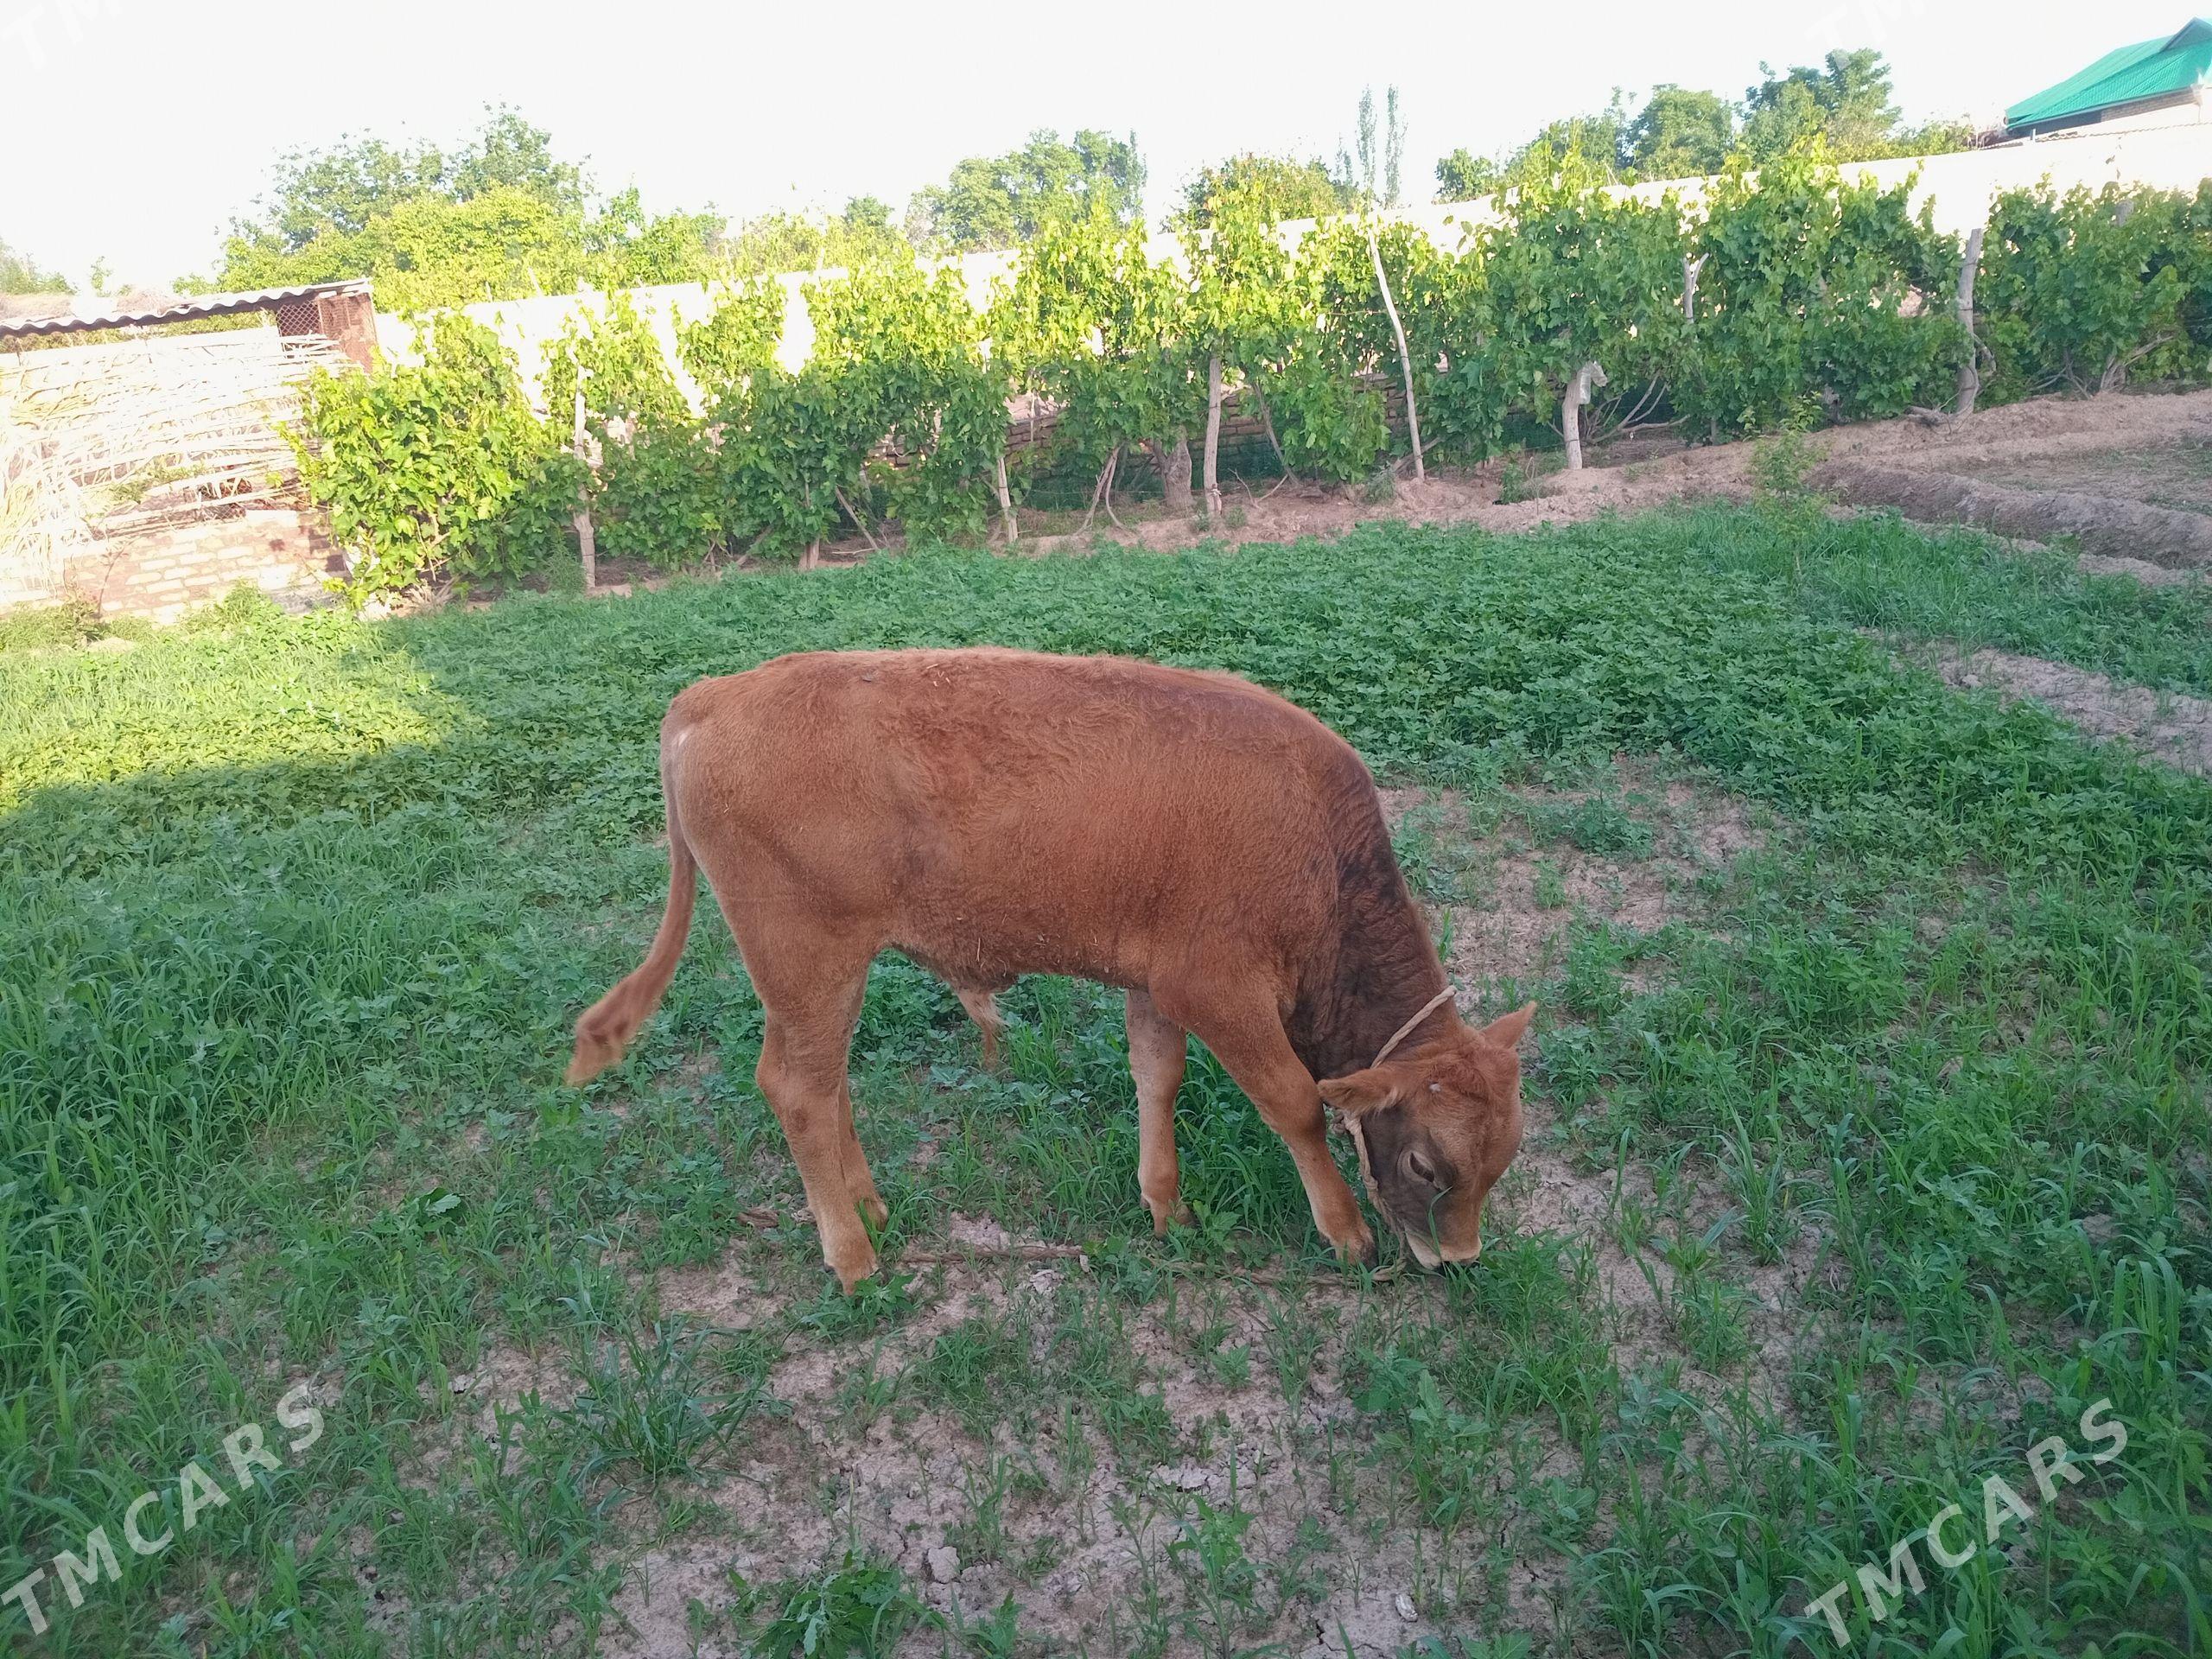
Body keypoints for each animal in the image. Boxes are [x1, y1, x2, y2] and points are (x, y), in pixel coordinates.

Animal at [566, 648, 1533, 1291]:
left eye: (1502, 1162)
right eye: (1427, 1167)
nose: (1458, 1259)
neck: (1318, 848)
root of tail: (713, 697)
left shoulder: (1156, 985)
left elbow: (1157, 1078)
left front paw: (1166, 1208)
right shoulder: (1218, 992)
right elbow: (1294, 1103)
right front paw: (1346, 1236)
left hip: (828, 980)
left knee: (826, 1083)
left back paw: (871, 1209)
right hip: (809, 967)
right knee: (798, 1089)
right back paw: (855, 1258)